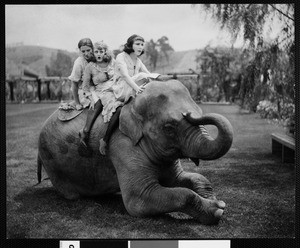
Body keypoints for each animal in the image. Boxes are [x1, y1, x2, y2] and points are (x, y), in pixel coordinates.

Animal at [37, 79, 233, 225]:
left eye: (199, 111)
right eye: (169, 127)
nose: (189, 114)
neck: (133, 103)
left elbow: (189, 178)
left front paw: (215, 200)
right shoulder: (121, 145)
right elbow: (138, 200)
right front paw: (216, 210)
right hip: (52, 160)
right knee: (71, 193)